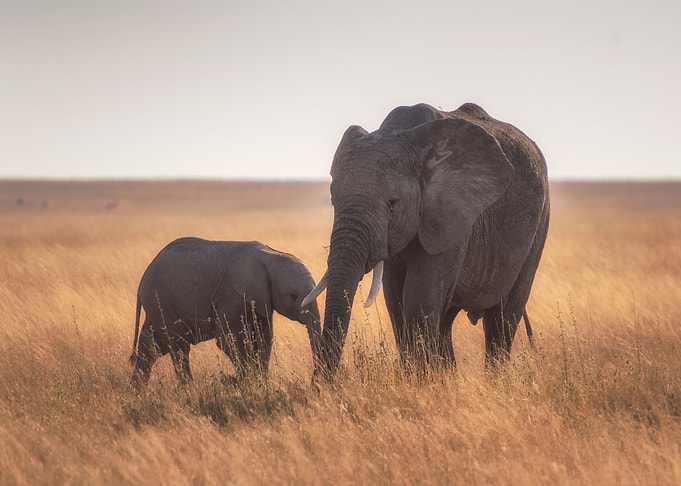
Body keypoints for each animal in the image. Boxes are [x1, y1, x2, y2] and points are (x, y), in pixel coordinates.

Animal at [129, 237, 322, 386]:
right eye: (293, 296)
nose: (314, 381)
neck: (270, 256)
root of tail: (143, 277)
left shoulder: (261, 300)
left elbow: (264, 339)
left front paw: (261, 383)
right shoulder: (232, 296)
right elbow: (228, 340)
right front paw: (246, 383)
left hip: (158, 305)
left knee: (151, 347)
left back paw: (137, 392)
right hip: (162, 301)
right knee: (179, 347)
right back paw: (188, 390)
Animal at [303, 102, 550, 377]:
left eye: (393, 202)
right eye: (333, 200)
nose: (320, 383)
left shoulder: (451, 213)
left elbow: (419, 299)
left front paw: (419, 381)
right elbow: (396, 301)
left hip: (539, 222)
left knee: (504, 317)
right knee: (447, 320)